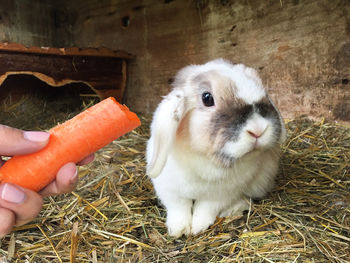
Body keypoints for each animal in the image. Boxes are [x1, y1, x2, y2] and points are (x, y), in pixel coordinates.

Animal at [146, 59, 286, 239]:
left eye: (264, 94)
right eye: (207, 98)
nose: (258, 129)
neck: (205, 158)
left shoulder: (220, 195)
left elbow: (205, 210)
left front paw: (197, 228)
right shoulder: (170, 191)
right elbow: (179, 209)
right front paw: (178, 230)